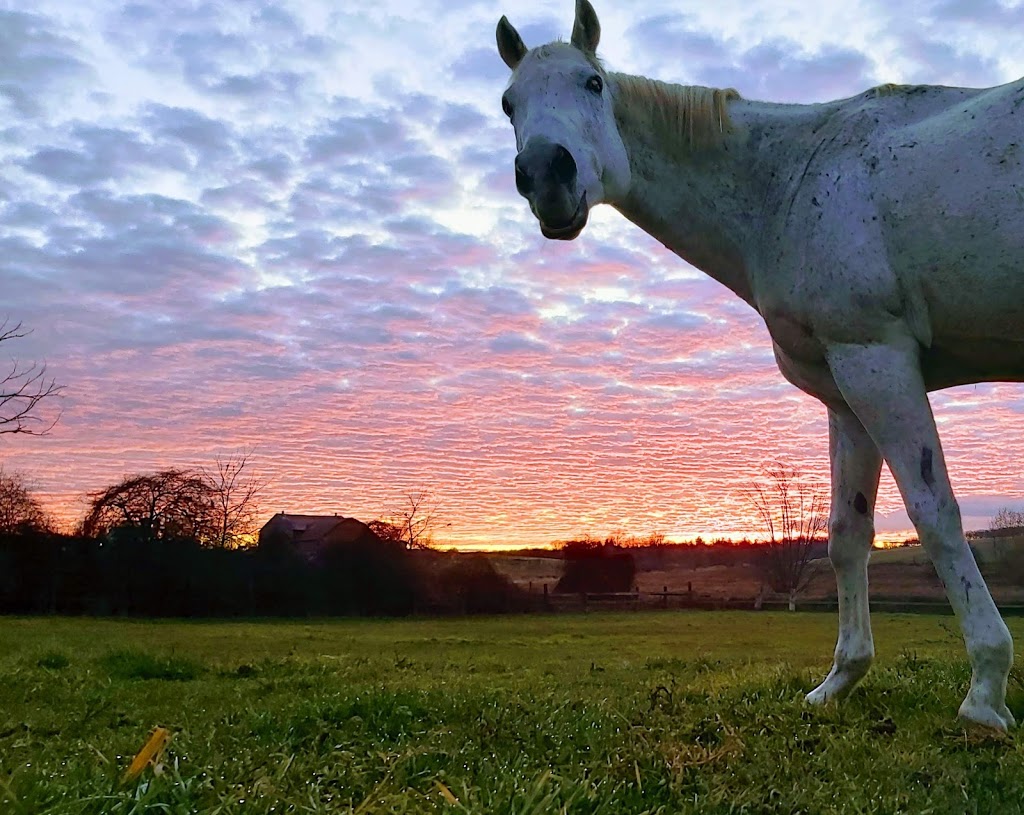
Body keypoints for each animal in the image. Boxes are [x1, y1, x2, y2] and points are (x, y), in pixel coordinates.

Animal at [495, 0, 1024, 724]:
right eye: (508, 102)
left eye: (593, 83)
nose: (547, 173)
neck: (793, 178)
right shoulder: (846, 390)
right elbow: (845, 533)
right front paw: (841, 680)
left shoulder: (878, 360)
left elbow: (935, 512)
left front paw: (985, 690)